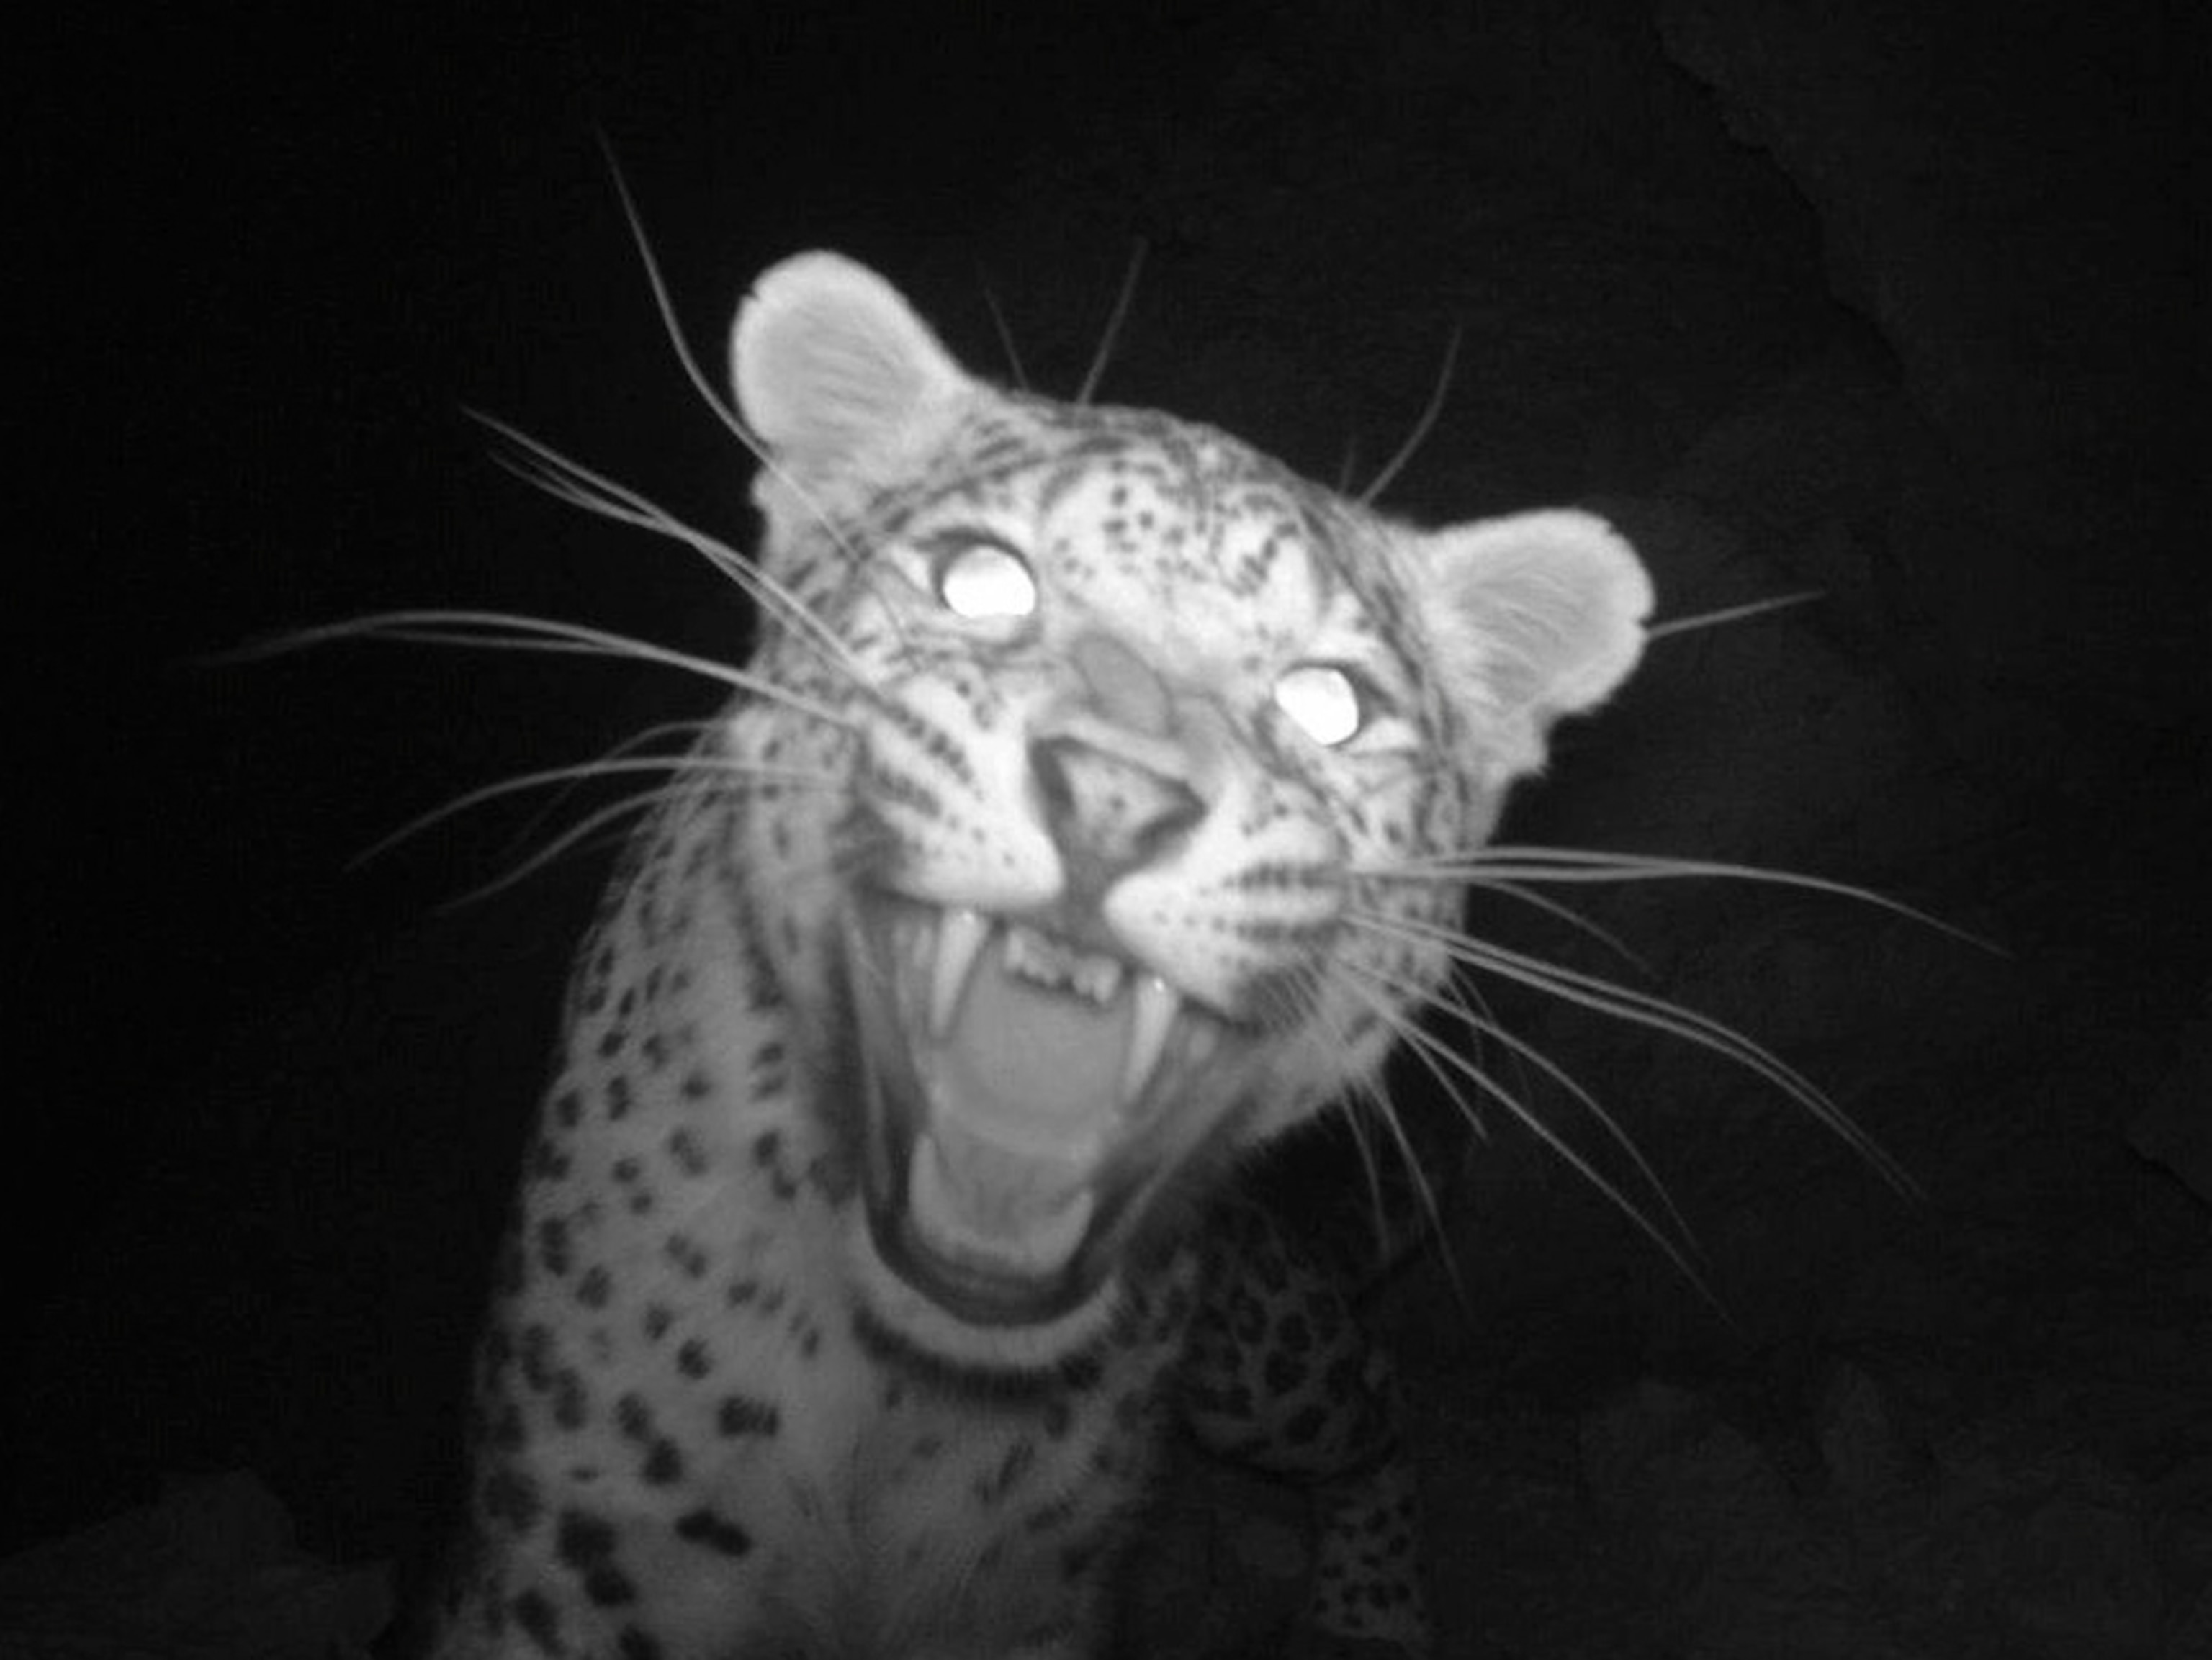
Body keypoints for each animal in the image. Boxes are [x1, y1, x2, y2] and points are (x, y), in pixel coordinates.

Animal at [413, 249, 1657, 1660]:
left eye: (1331, 705)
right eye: (978, 579)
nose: (1117, 795)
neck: (895, 1390)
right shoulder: (563, 1565)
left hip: (1251, 1358)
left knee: (1372, 1403)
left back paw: (1369, 1616)